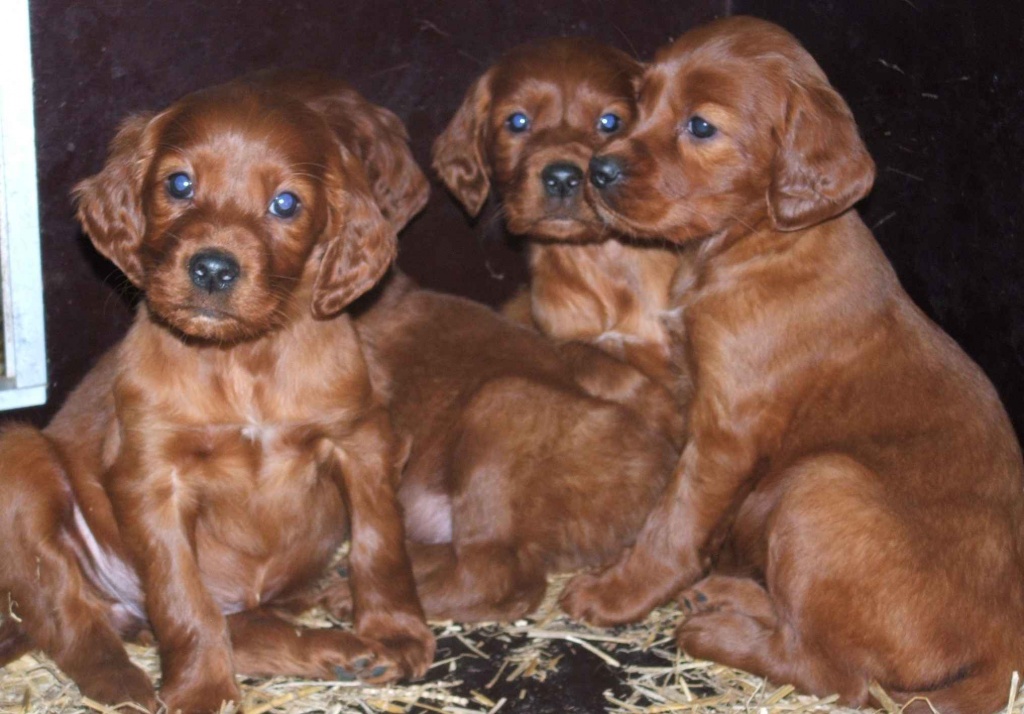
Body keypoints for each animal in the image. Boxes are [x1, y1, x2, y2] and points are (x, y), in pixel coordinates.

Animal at [0, 73, 434, 712]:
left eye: (286, 203)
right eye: (179, 184)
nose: (211, 268)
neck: (242, 359)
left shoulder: (364, 441)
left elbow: (382, 545)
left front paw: (396, 633)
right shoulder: (153, 479)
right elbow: (183, 600)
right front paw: (202, 691)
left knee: (245, 628)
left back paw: (341, 650)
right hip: (22, 459)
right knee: (69, 616)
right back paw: (124, 684)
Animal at [432, 36, 696, 401]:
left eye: (609, 122)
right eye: (518, 121)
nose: (561, 178)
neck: (599, 261)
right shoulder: (560, 335)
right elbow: (599, 365)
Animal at [561, 16, 1024, 712]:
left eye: (701, 126)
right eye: (638, 104)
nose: (598, 169)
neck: (755, 241)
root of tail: (1004, 650)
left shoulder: (728, 431)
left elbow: (675, 519)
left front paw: (616, 593)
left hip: (819, 486)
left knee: (834, 673)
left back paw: (715, 632)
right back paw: (729, 594)